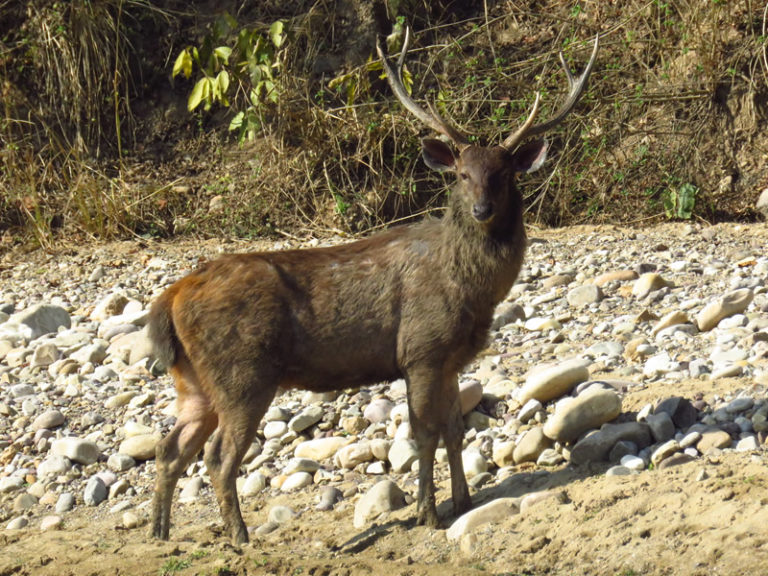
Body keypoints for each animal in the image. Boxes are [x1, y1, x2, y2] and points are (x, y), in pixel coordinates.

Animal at [147, 28, 596, 544]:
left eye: (502, 175)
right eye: (463, 174)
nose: (482, 209)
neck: (470, 290)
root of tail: (170, 298)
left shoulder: (450, 358)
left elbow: (454, 429)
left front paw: (464, 500)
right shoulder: (420, 349)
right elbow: (424, 433)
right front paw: (427, 512)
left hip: (193, 380)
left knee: (170, 447)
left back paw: (159, 532)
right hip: (244, 370)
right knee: (218, 454)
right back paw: (240, 536)